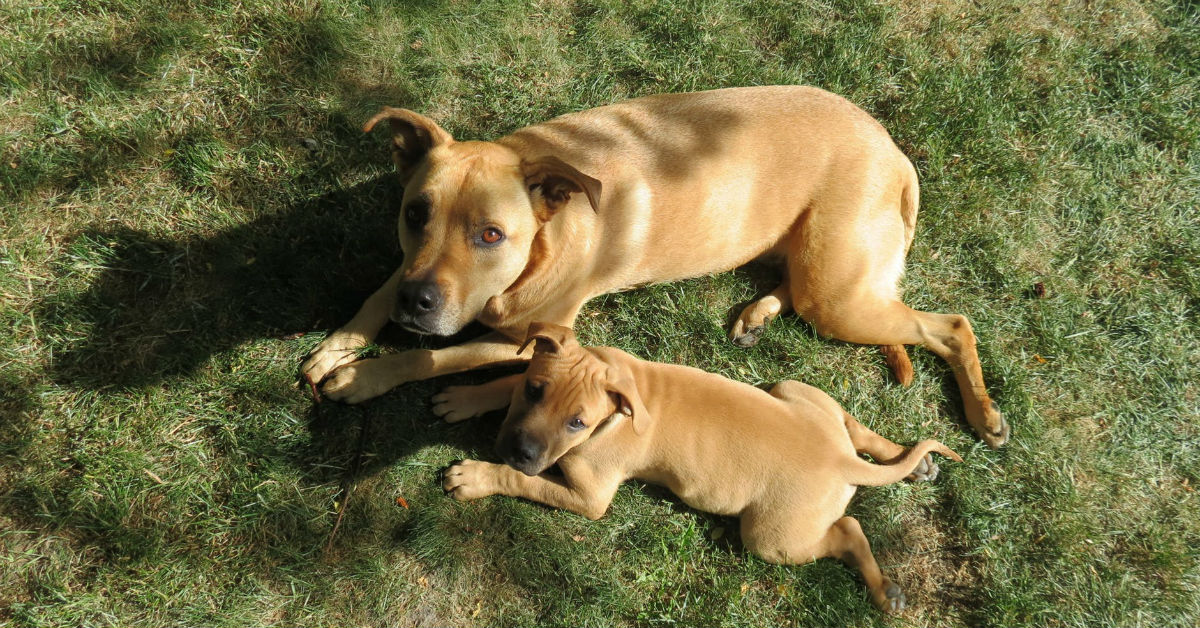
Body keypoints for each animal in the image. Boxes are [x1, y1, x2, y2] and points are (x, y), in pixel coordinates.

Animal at [295, 84, 1008, 446]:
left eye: (491, 234)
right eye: (415, 213)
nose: (418, 302)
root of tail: (896, 152)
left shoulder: (529, 337)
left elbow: (435, 355)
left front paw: (365, 377)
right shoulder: (413, 268)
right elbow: (376, 297)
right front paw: (338, 346)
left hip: (837, 296)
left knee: (952, 325)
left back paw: (984, 415)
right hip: (816, 271)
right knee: (796, 282)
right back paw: (757, 312)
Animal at [436, 324, 960, 614]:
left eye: (576, 423)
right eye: (535, 390)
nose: (519, 449)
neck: (617, 406)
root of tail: (841, 461)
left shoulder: (590, 498)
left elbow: (522, 481)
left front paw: (477, 476)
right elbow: (503, 382)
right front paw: (466, 398)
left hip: (770, 538)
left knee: (847, 528)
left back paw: (883, 589)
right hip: (797, 391)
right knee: (856, 430)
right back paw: (914, 462)